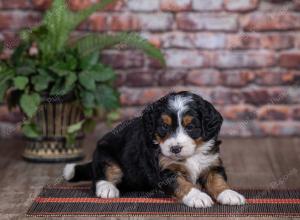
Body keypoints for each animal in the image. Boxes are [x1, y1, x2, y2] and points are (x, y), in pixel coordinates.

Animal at [62, 90, 245, 207]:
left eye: (191, 127)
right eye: (164, 126)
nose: (175, 148)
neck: (191, 154)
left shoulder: (211, 163)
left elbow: (217, 180)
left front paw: (229, 194)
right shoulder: (166, 170)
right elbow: (182, 184)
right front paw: (198, 197)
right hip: (106, 153)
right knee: (101, 174)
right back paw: (107, 189)